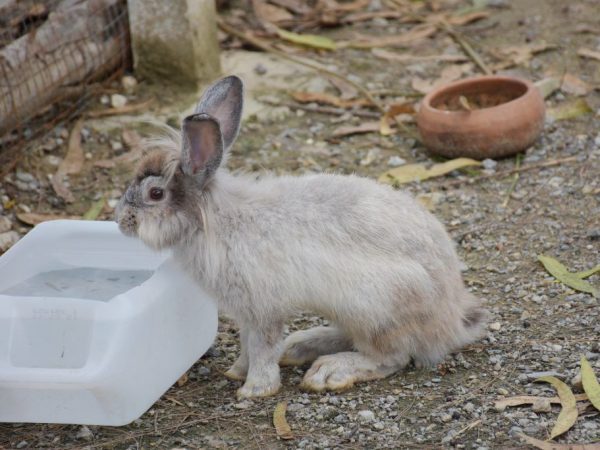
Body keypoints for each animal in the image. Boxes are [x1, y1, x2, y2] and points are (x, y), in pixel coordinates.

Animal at [116, 75, 488, 400]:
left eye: (155, 194)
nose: (121, 221)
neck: (215, 220)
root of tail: (452, 319)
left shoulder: (262, 307)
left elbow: (262, 346)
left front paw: (254, 389)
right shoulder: (248, 312)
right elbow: (248, 344)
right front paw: (237, 372)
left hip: (375, 309)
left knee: (391, 357)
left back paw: (329, 371)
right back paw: (301, 346)